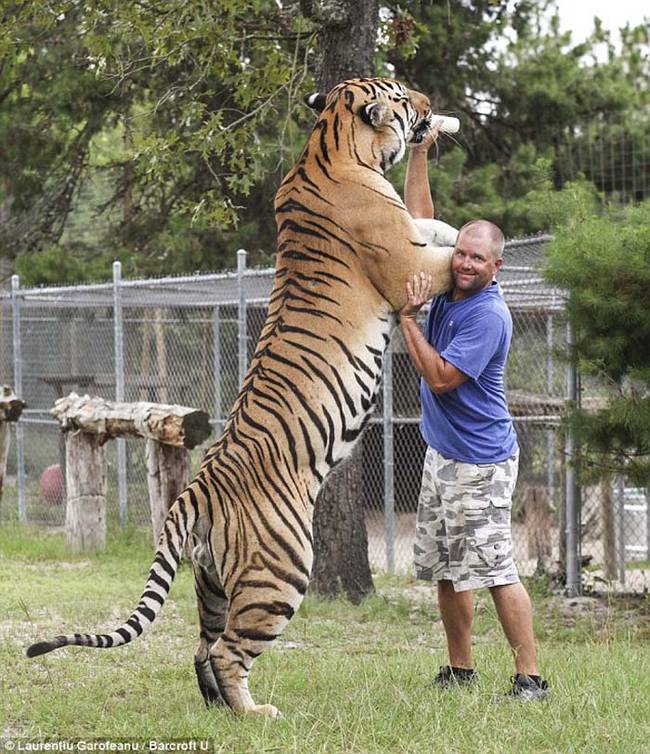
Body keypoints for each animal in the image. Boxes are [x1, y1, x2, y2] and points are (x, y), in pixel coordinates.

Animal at [27, 78, 458, 716]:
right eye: (404, 95)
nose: (430, 105)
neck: (330, 144)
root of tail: (194, 491)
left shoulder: (410, 235)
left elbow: (437, 228)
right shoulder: (406, 264)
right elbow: (446, 255)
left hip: (211, 583)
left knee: (202, 646)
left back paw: (220, 711)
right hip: (281, 572)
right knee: (230, 651)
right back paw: (256, 714)